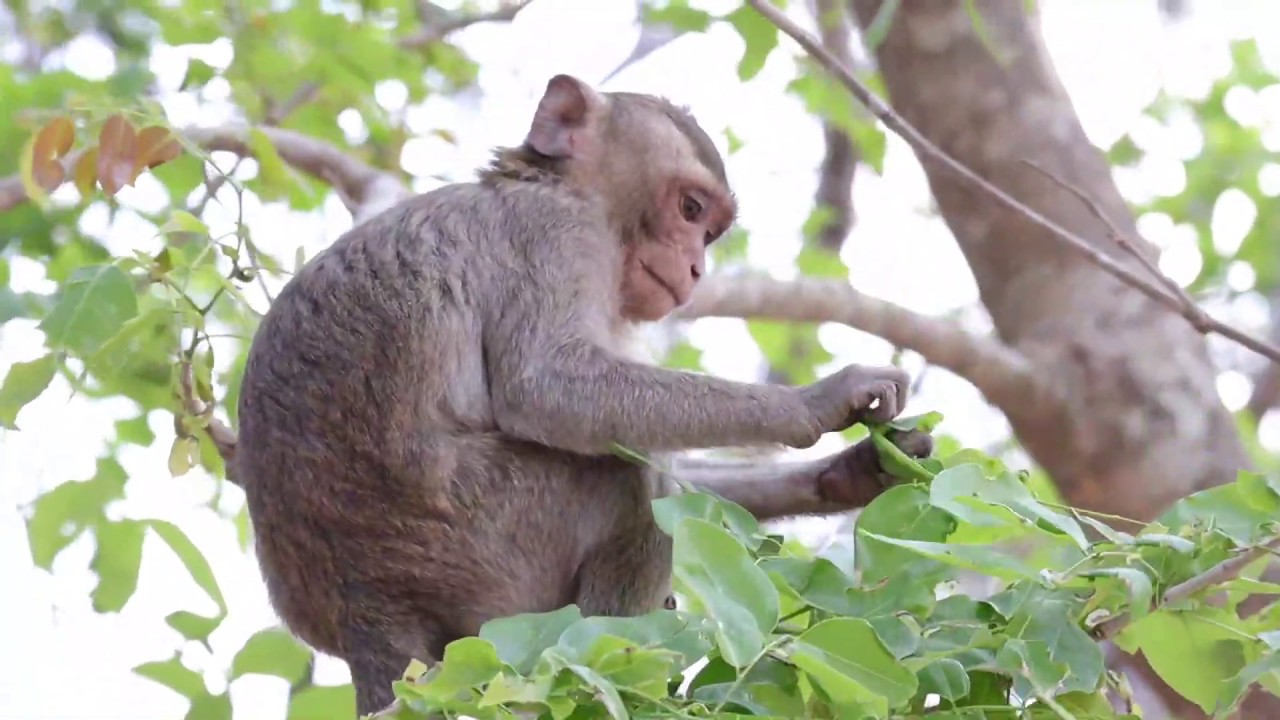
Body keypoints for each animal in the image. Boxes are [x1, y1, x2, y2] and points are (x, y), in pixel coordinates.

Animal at [233, 74, 933, 716]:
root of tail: (365, 610)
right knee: (629, 481)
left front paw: (854, 472)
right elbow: (549, 387)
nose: (695, 269)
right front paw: (815, 402)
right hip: (470, 543)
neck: (548, 183)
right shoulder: (559, 236)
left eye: (708, 232)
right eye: (689, 210)